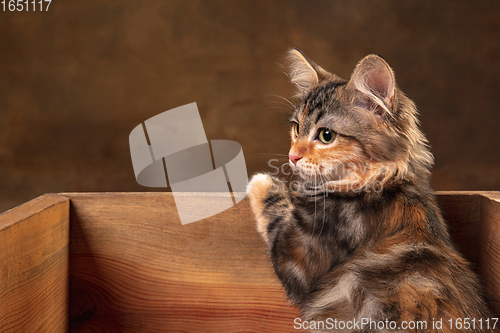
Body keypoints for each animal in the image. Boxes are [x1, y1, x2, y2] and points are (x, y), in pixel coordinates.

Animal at [248, 49, 498, 332]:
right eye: (296, 128)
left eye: (326, 136)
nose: (292, 156)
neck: (384, 183)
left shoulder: (299, 255)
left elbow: (275, 210)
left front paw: (261, 180)